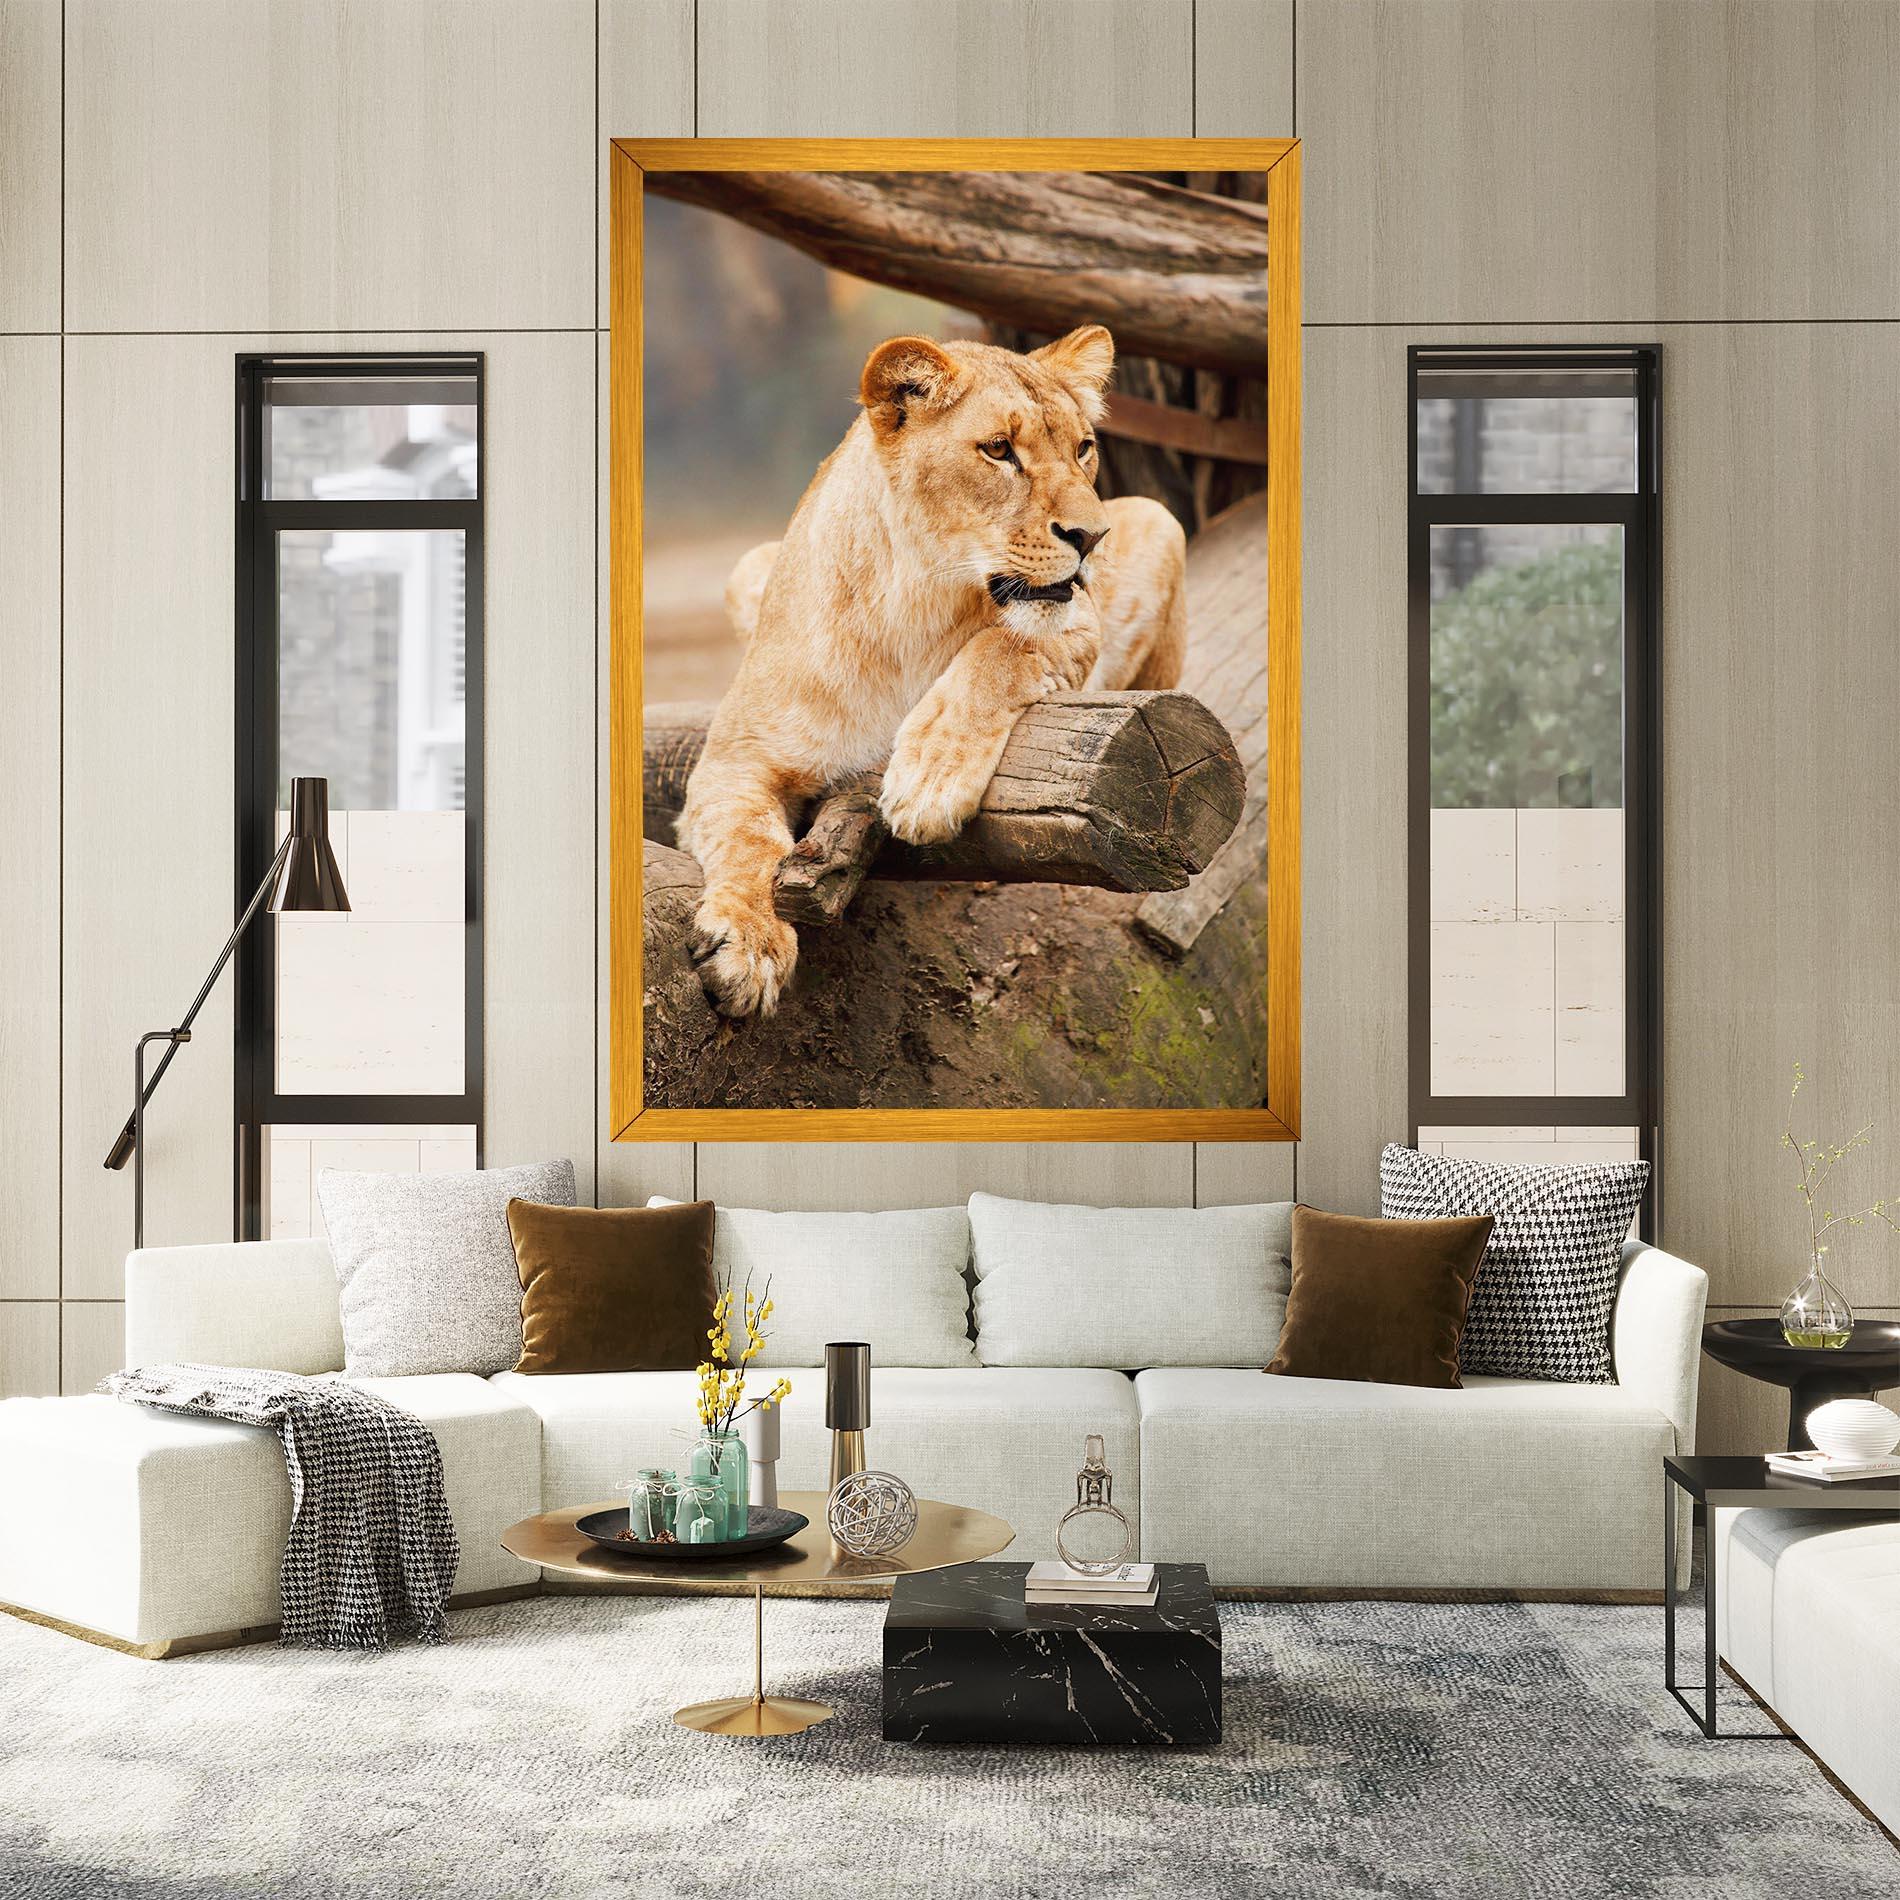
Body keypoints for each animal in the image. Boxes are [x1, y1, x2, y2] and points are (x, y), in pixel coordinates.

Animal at [675, 324, 1187, 1019]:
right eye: (999, 450)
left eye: (1083, 449)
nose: (1092, 537)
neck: (914, 606)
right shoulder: (734, 759)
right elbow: (746, 839)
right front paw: (749, 945)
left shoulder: (1077, 622)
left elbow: (1001, 649)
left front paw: (928, 781)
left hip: (1161, 521)